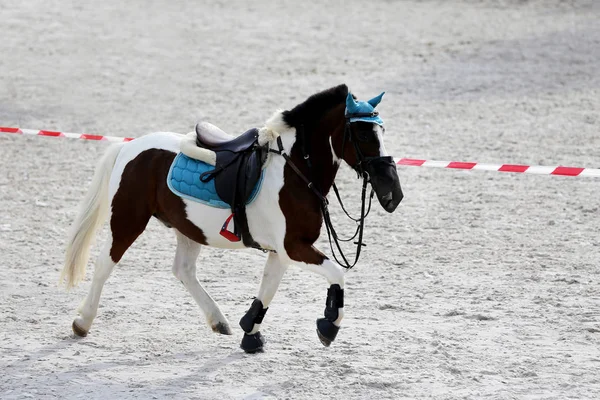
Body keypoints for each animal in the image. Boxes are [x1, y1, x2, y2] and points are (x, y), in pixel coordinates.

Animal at [61, 84, 404, 354]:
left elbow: (267, 289)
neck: (295, 170)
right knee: (104, 264)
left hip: (188, 227)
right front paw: (328, 325)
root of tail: (130, 146)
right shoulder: (294, 247)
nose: (393, 192)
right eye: (363, 133)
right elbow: (338, 275)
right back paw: (82, 322)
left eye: (382, 131)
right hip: (128, 220)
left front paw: (250, 332)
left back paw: (219, 320)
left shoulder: (283, 250)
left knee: (183, 271)